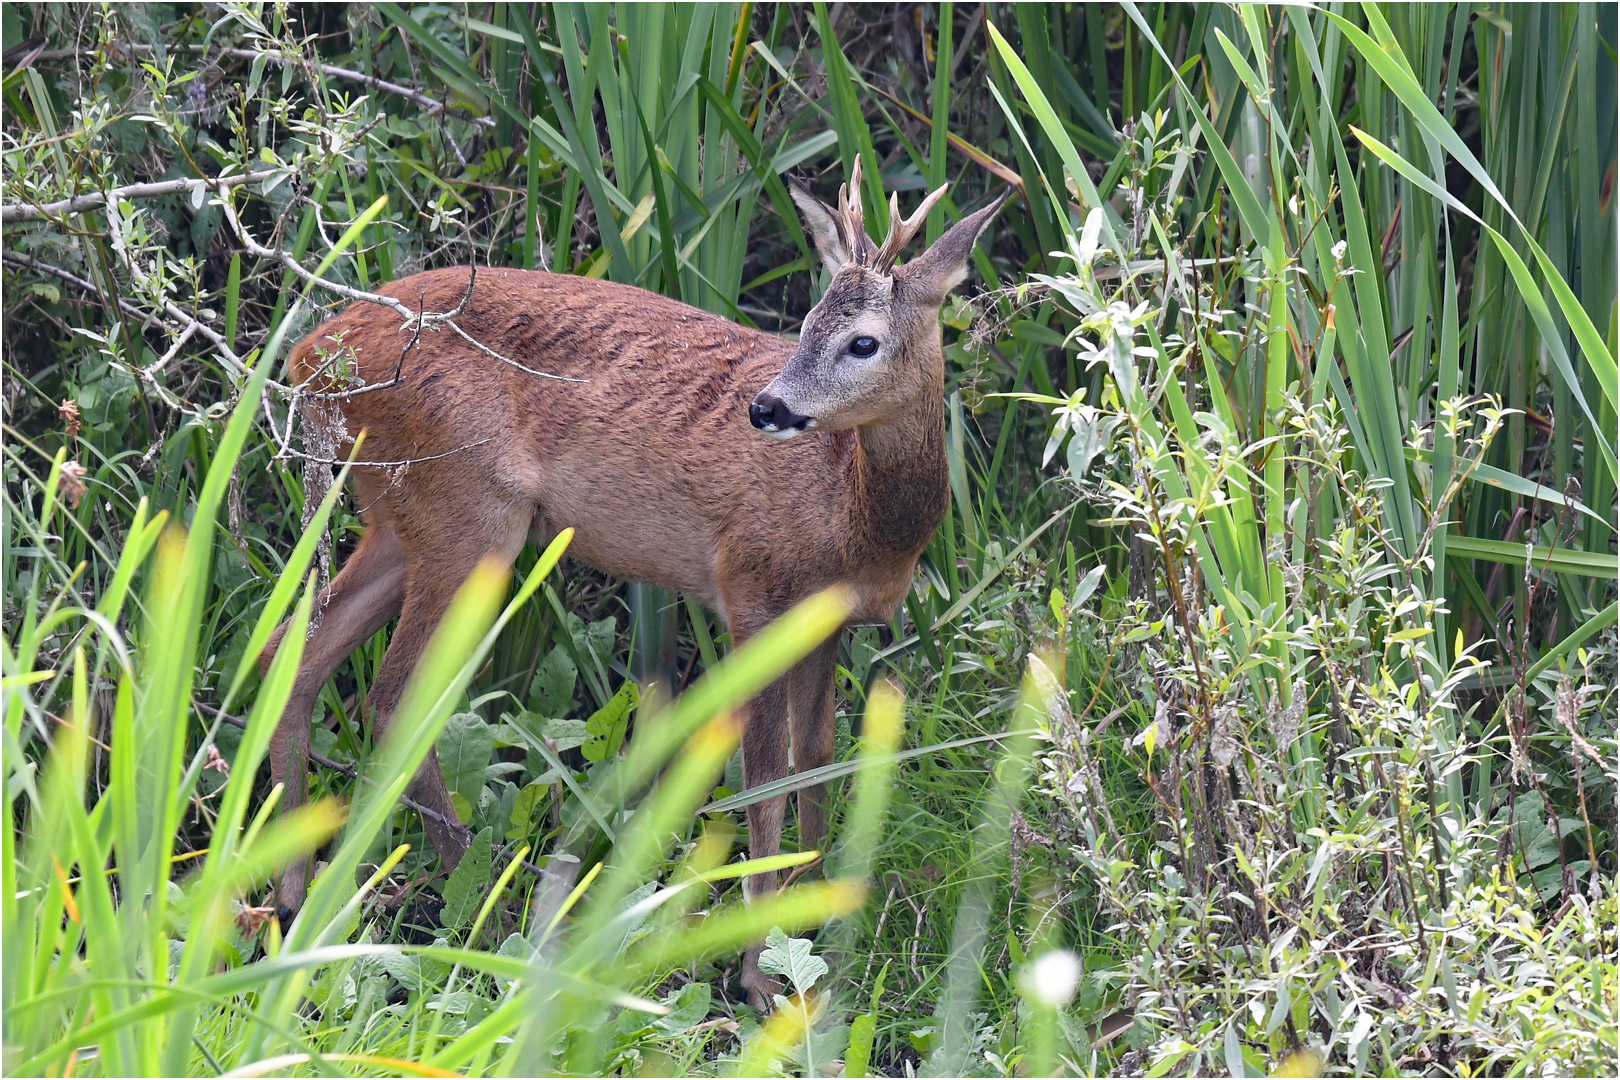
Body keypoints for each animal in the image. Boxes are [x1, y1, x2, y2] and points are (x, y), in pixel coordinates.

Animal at [259, 160, 1004, 1003]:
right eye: (808, 322)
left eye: (862, 341)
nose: (767, 407)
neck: (853, 515)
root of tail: (309, 359)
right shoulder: (750, 588)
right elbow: (764, 774)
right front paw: (759, 972)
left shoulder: (829, 621)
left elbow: (819, 759)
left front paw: (815, 923)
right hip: (468, 514)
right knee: (393, 693)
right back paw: (479, 912)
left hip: (394, 516)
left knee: (295, 651)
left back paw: (291, 899)